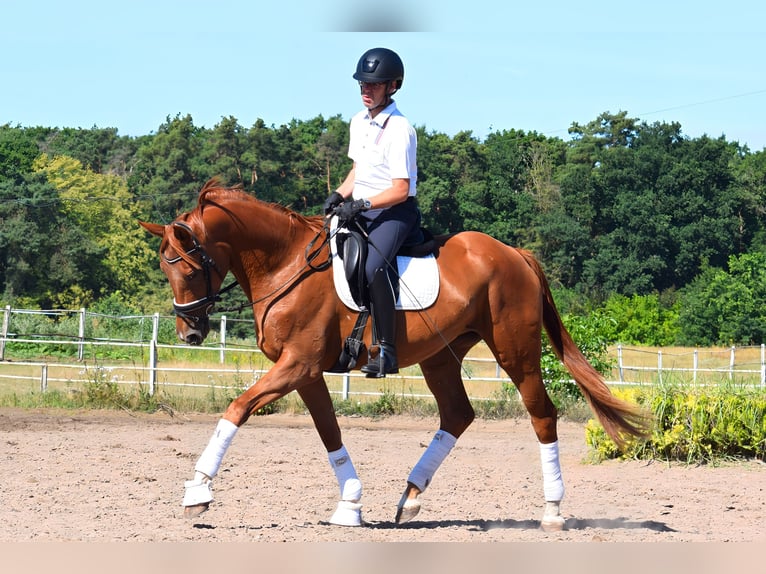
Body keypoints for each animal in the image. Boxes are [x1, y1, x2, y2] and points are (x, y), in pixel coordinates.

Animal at [140, 178, 649, 531]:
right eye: (166, 269)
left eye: (188, 269)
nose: (189, 332)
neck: (286, 264)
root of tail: (514, 253)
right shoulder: (306, 372)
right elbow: (329, 432)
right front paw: (350, 504)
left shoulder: (297, 365)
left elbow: (238, 408)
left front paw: (197, 491)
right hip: (440, 355)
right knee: (457, 415)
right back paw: (411, 497)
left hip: (514, 351)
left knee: (542, 413)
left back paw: (552, 509)